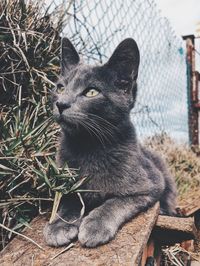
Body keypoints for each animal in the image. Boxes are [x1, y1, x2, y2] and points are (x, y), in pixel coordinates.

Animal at [43, 37, 176, 247]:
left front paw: (95, 225)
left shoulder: (151, 184)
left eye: (91, 92)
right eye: (61, 87)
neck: (89, 146)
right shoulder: (65, 182)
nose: (61, 103)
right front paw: (59, 225)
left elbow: (116, 201)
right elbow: (70, 199)